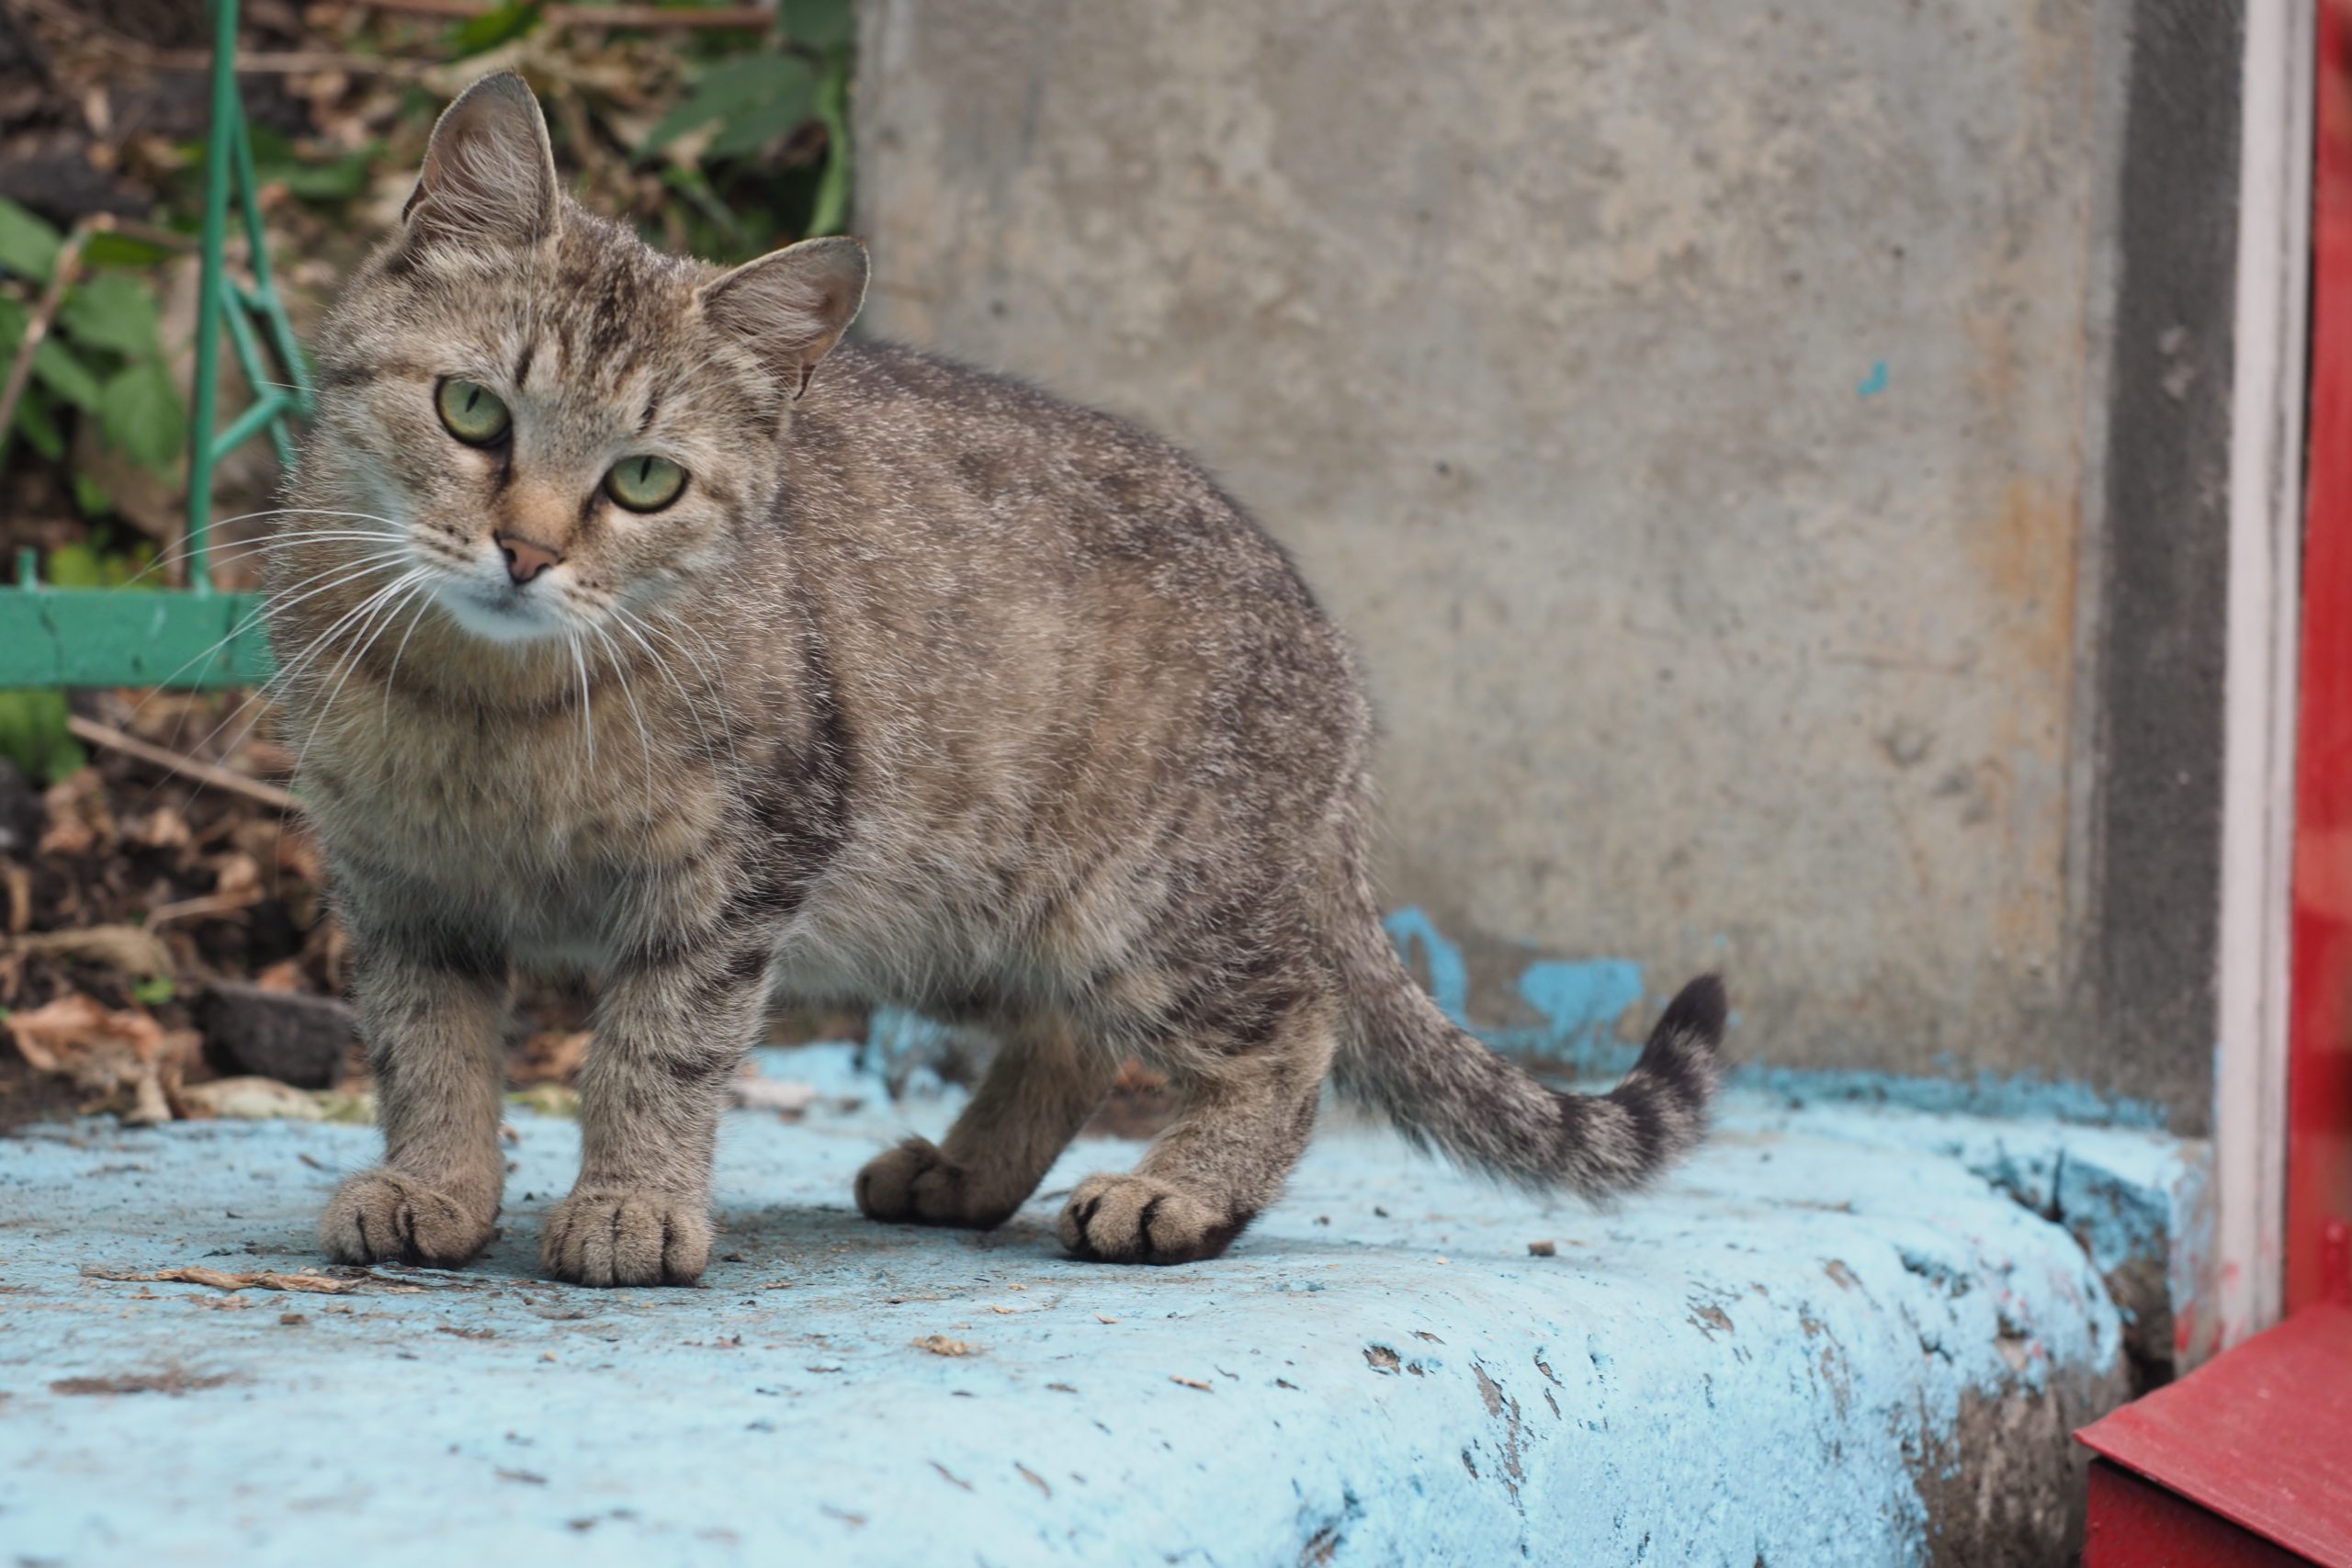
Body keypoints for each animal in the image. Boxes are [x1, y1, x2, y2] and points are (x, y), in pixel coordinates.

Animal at [270, 70, 1731, 1288]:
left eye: (643, 481)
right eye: (472, 411)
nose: (524, 551)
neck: (490, 707)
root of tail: (1334, 675)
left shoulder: (741, 876)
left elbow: (658, 1051)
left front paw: (632, 1201)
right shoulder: (403, 889)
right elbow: (428, 1051)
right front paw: (434, 1185)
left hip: (1131, 901)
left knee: (1294, 1032)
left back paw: (1176, 1192)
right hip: (957, 916)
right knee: (1074, 1039)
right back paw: (967, 1171)